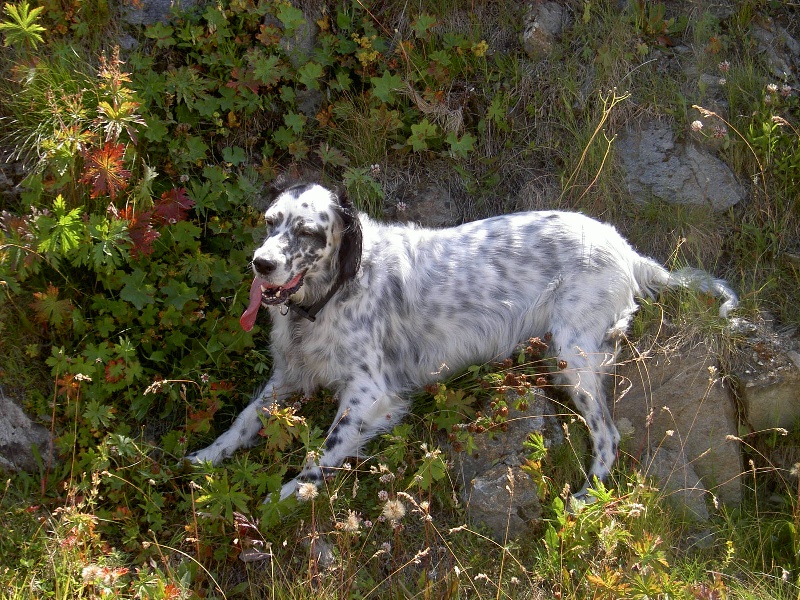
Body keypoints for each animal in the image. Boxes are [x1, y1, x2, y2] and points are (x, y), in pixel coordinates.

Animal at [189, 182, 736, 502]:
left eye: (306, 230)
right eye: (270, 222)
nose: (260, 263)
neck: (330, 295)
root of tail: (624, 247)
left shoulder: (372, 393)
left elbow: (320, 452)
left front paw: (285, 498)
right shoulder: (287, 376)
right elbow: (242, 421)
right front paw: (205, 458)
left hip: (574, 355)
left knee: (608, 436)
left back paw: (586, 496)